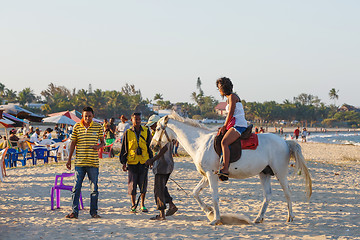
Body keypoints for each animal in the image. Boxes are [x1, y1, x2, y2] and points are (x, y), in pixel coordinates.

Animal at [150, 113, 310, 226]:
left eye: (157, 129)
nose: (152, 146)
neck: (200, 142)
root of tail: (284, 142)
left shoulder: (211, 175)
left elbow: (214, 197)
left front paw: (216, 219)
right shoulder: (207, 176)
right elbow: (195, 192)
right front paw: (208, 210)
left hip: (280, 172)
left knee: (287, 192)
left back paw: (290, 217)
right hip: (264, 173)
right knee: (268, 195)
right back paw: (259, 218)